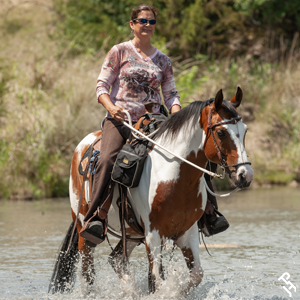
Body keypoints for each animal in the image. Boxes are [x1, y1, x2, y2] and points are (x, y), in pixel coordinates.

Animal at [48, 86, 253, 296]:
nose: (245, 175)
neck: (172, 176)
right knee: (87, 273)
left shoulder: (187, 232)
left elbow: (195, 275)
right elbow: (158, 281)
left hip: (131, 232)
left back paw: (129, 289)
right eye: (221, 132)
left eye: (244, 130)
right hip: (83, 228)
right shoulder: (153, 234)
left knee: (117, 259)